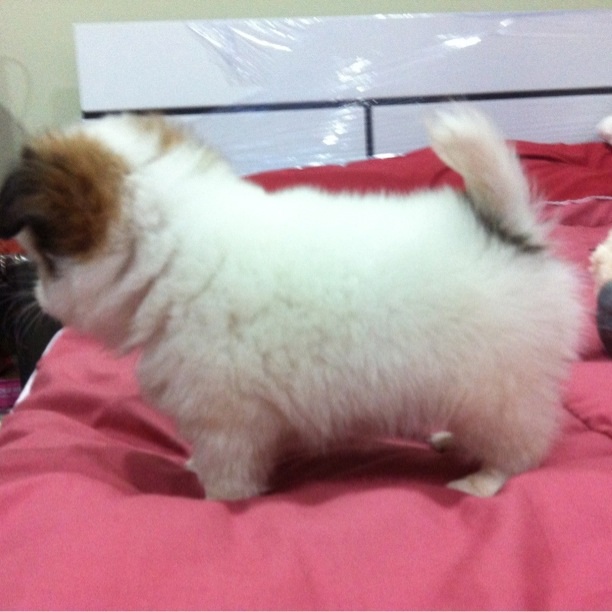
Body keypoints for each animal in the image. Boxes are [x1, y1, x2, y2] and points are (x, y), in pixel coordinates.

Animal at [0, 109, 583, 500]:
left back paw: (480, 480)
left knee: (521, 449)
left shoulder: (227, 420)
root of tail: (510, 232)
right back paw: (447, 439)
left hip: (497, 388)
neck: (175, 254)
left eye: (45, 260)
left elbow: (227, 474)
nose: (34, 294)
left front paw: (215, 499)